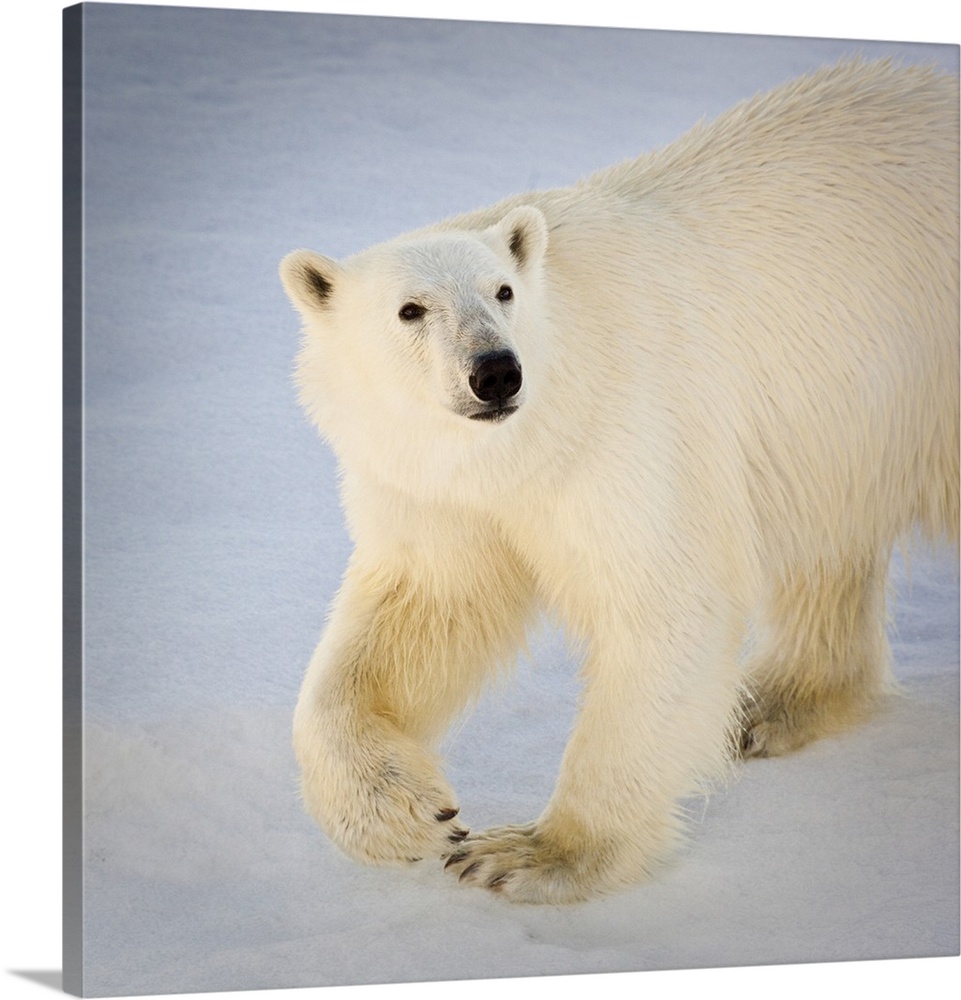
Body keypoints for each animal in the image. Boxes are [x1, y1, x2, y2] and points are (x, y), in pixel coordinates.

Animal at [282, 62, 956, 908]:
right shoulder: (436, 487)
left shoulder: (628, 433)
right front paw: (405, 814)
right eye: (410, 309)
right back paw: (769, 704)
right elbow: (426, 606)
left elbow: (662, 601)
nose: (495, 372)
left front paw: (530, 853)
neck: (532, 437)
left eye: (502, 291)